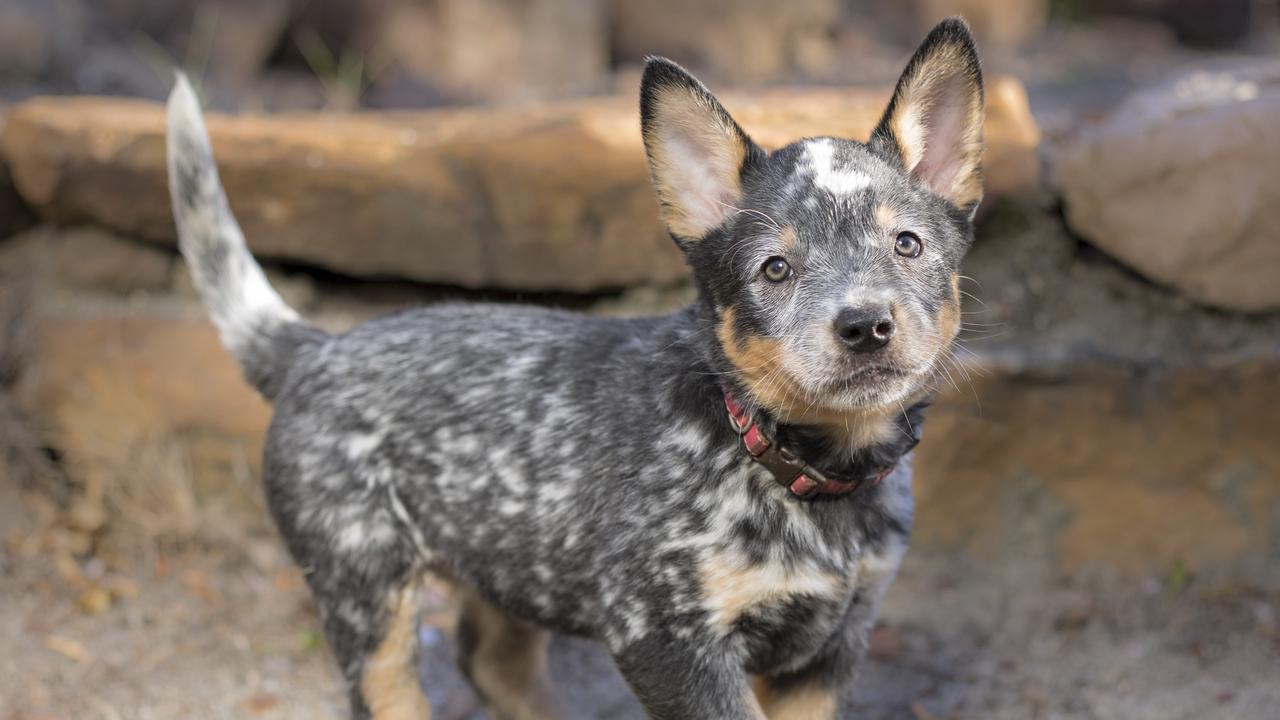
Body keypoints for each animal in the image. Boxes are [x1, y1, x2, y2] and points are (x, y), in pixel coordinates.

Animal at [167, 16, 988, 717]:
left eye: (907, 244)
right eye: (775, 269)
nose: (865, 325)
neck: (804, 472)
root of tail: (316, 347)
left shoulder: (832, 649)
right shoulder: (667, 643)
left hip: (506, 567)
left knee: (491, 665)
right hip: (364, 594)